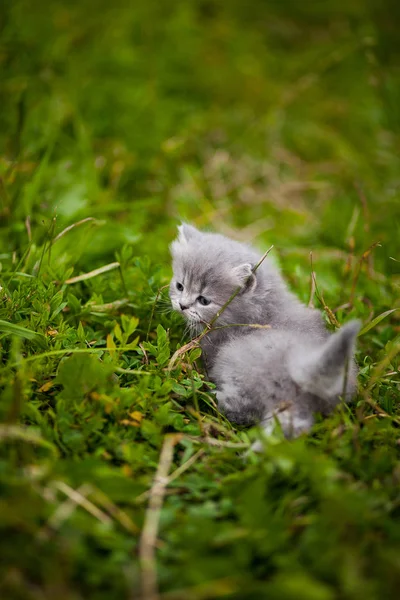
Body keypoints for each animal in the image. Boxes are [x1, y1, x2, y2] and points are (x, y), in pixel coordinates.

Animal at [169, 223, 360, 442]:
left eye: (204, 300)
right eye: (179, 286)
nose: (182, 305)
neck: (261, 311)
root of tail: (304, 367)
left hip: (238, 365)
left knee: (241, 409)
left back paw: (207, 395)